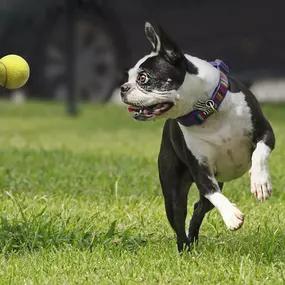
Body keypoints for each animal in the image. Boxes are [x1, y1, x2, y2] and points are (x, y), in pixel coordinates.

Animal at [119, 22, 272, 251]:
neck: (206, 109)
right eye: (128, 77)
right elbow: (213, 193)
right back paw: (185, 248)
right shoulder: (201, 169)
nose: (123, 88)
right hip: (173, 193)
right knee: (182, 215)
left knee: (200, 206)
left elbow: (259, 153)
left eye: (143, 78)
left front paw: (259, 181)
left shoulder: (266, 133)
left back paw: (193, 239)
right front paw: (231, 216)